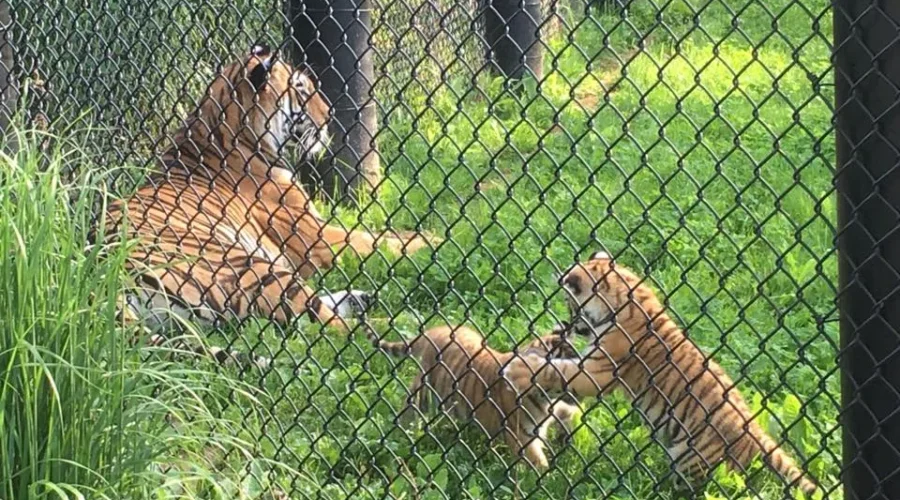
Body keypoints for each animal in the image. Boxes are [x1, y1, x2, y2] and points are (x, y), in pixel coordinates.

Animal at [106, 44, 438, 367]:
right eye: (301, 89)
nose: (330, 114)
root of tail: (109, 277)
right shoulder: (318, 238)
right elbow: (388, 240)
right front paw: (437, 243)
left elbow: (392, 234)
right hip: (251, 267)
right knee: (331, 329)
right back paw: (400, 330)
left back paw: (361, 301)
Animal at [366, 323, 582, 469]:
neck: (547, 399)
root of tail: (436, 329)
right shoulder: (521, 435)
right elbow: (538, 464)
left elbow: (569, 416)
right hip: (422, 392)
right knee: (407, 413)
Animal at [502, 251, 819, 495]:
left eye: (570, 303)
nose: (569, 324)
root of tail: (755, 431)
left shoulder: (598, 371)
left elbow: (557, 370)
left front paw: (518, 367)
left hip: (693, 461)